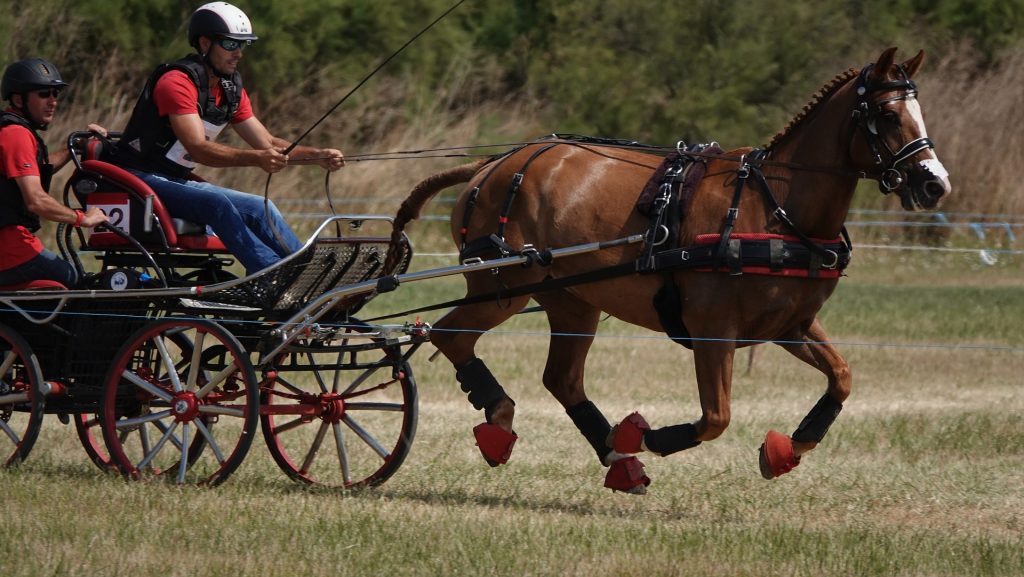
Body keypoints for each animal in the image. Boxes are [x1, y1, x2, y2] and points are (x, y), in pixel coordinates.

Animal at [385, 47, 950, 493]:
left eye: (920, 112)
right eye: (887, 114)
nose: (934, 184)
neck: (773, 206)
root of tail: (492, 164)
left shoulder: (790, 326)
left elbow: (842, 377)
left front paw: (790, 447)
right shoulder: (713, 331)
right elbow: (717, 417)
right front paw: (646, 434)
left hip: (571, 300)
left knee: (560, 378)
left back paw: (616, 458)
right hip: (503, 285)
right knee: (452, 336)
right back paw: (502, 421)